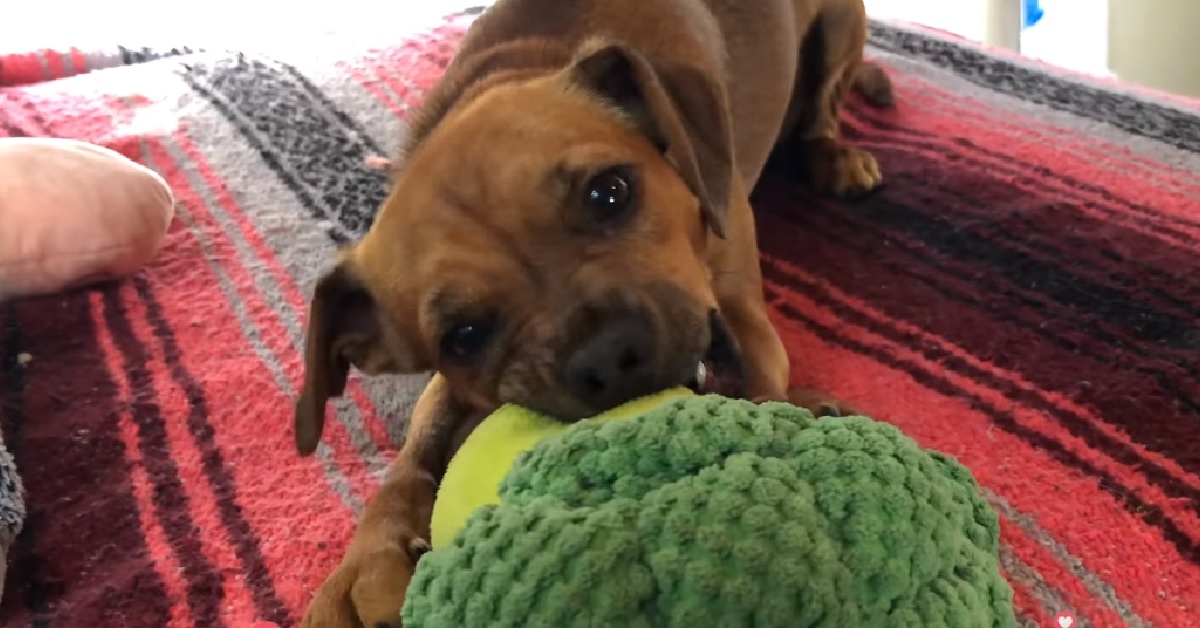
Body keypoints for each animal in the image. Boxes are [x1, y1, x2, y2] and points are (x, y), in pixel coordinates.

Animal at [290, 0, 892, 624]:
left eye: (610, 191)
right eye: (463, 335)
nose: (609, 356)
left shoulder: (743, 309)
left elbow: (762, 390)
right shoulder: (446, 384)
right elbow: (417, 443)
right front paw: (367, 557)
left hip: (842, 28)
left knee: (823, 112)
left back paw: (834, 156)